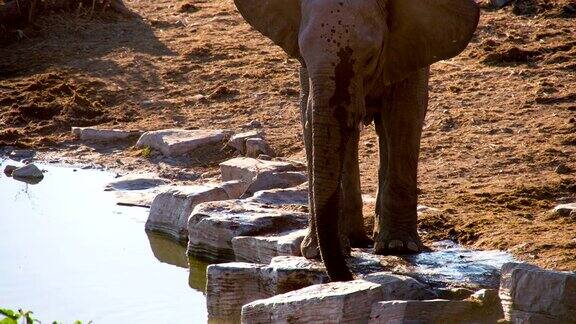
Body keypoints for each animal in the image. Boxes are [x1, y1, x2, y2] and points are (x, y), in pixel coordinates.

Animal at [232, 0, 480, 280]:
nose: (348, 276)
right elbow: (309, 120)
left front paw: (399, 248)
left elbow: (403, 116)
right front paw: (316, 253)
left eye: (370, 57)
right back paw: (352, 239)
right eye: (303, 55)